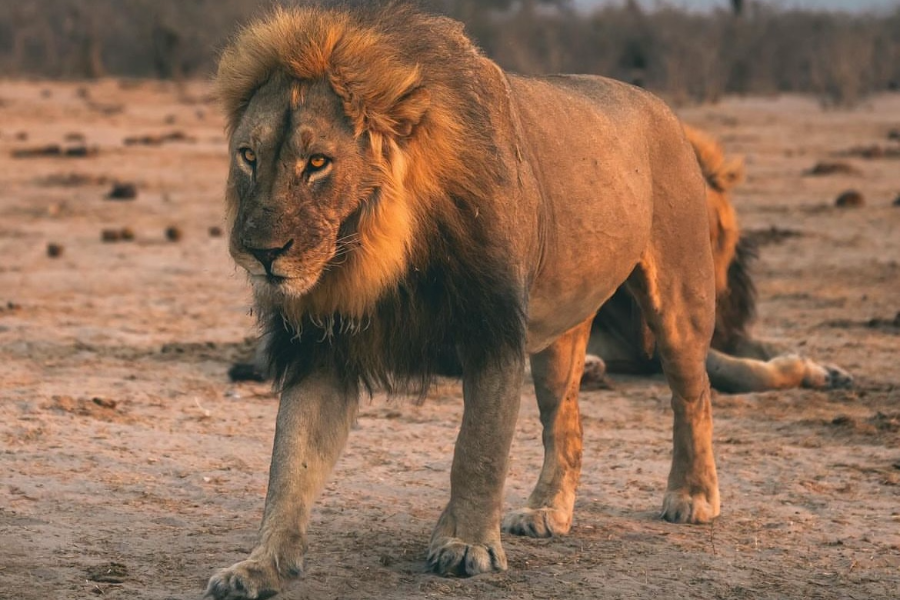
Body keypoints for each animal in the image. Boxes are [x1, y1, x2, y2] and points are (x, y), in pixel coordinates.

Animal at [207, 3, 748, 596]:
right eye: (248, 156)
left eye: (318, 163)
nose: (261, 252)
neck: (375, 256)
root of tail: (662, 108)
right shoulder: (320, 349)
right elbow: (289, 466)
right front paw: (259, 565)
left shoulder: (493, 331)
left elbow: (477, 451)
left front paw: (468, 545)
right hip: (561, 336)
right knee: (566, 421)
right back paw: (546, 510)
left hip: (679, 300)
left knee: (693, 396)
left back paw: (693, 496)